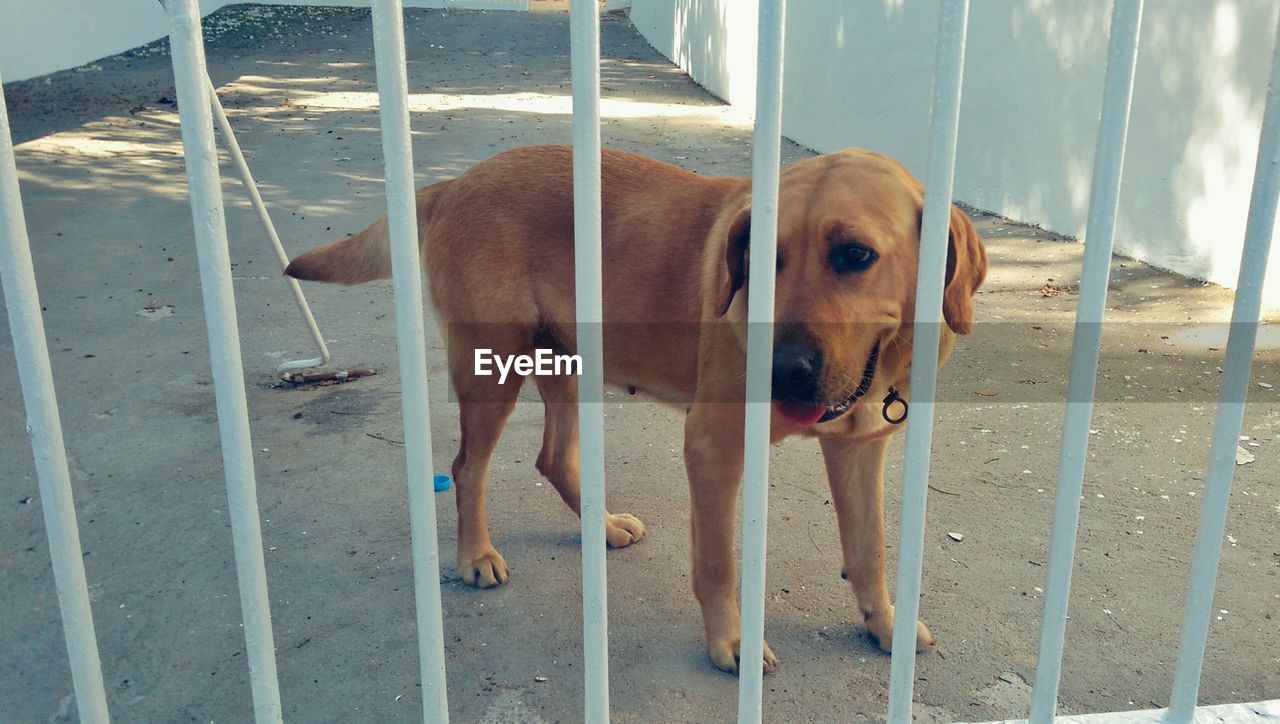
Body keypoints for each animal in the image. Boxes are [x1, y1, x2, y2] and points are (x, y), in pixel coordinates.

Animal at [288, 144, 988, 680]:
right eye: (762, 259)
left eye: (856, 255)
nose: (781, 369)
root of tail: (454, 183)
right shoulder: (714, 446)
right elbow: (717, 564)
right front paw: (730, 642)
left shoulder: (858, 449)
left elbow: (868, 549)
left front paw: (886, 624)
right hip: (494, 372)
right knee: (467, 468)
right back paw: (475, 556)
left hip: (567, 362)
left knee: (551, 457)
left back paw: (599, 527)